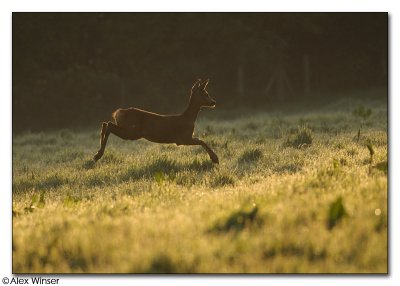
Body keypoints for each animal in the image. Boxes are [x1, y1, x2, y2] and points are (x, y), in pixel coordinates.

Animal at [92, 78, 220, 163]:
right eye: (205, 93)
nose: (213, 102)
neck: (188, 119)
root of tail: (118, 112)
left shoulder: (184, 139)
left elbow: (201, 141)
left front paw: (214, 158)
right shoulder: (183, 138)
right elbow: (202, 141)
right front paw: (215, 158)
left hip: (129, 130)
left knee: (105, 123)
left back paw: (97, 154)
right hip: (131, 131)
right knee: (108, 125)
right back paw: (98, 155)